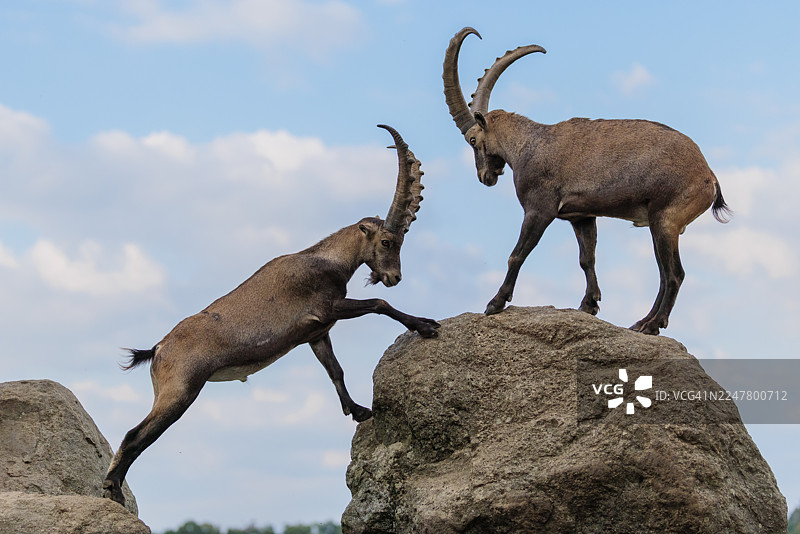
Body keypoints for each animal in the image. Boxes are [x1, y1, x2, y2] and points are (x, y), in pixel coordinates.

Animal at [103, 125, 439, 506]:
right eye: (386, 242)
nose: (394, 277)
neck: (326, 260)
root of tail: (158, 349)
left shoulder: (316, 333)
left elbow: (335, 369)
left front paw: (357, 410)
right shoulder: (327, 307)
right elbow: (379, 304)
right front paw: (426, 326)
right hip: (179, 392)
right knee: (134, 435)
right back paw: (112, 490)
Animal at [443, 27, 731, 335]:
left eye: (473, 140)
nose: (485, 177)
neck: (529, 145)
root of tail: (708, 176)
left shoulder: (539, 210)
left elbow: (517, 254)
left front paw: (495, 303)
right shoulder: (581, 216)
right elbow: (586, 258)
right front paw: (589, 304)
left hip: (666, 220)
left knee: (674, 274)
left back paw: (653, 325)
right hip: (662, 225)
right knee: (665, 275)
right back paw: (641, 322)